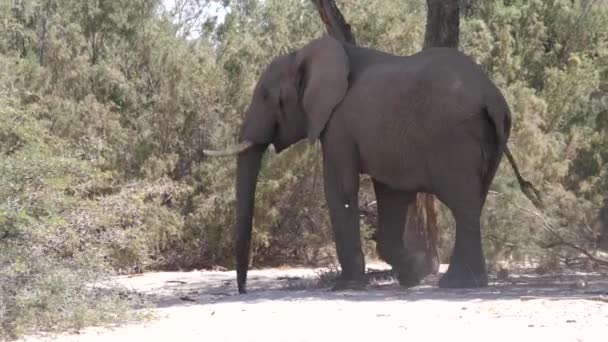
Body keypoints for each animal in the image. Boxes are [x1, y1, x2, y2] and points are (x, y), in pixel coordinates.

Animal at [204, 36, 540, 296]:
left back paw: (458, 284)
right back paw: (463, 282)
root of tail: (492, 98)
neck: (304, 53)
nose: (243, 291)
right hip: (489, 137)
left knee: (464, 205)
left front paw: (347, 286)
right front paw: (414, 273)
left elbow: (338, 189)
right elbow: (391, 195)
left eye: (265, 96)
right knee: (474, 202)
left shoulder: (338, 123)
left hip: (455, 138)